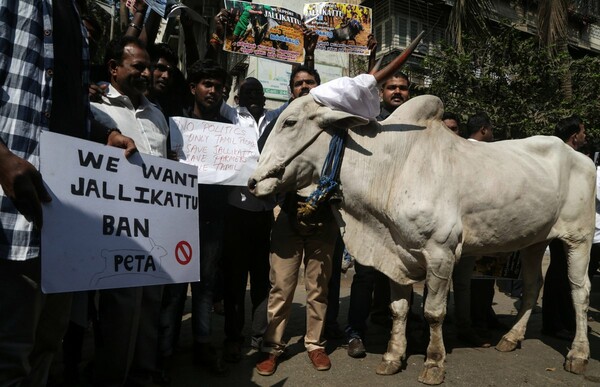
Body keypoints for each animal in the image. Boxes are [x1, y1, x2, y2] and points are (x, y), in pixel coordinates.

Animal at [248, 95, 596, 386]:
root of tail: (582, 157)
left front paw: (433, 362)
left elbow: (433, 312)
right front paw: (393, 356)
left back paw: (578, 354)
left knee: (580, 291)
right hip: (535, 240)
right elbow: (399, 309)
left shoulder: (441, 252)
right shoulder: (397, 253)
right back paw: (511, 338)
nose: (252, 182)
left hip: (578, 238)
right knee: (534, 285)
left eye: (290, 122)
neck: (390, 169)